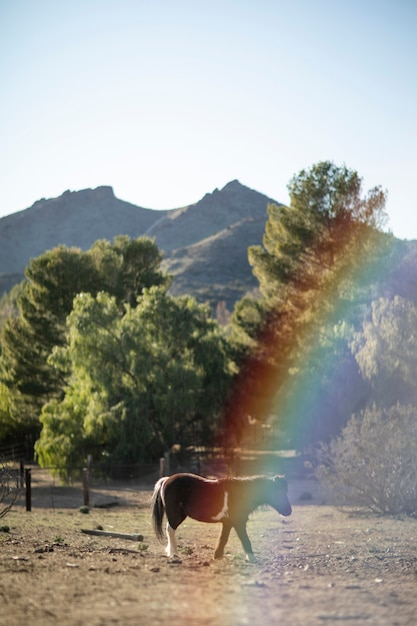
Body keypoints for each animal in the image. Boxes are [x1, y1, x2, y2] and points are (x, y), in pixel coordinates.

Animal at [151, 472, 290, 560]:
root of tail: (166, 479)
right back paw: (174, 554)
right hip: (176, 515)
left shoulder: (228, 522)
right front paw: (252, 558)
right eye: (278, 492)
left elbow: (223, 539)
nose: (289, 511)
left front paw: (217, 556)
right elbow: (245, 539)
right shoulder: (239, 522)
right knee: (170, 530)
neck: (241, 494)